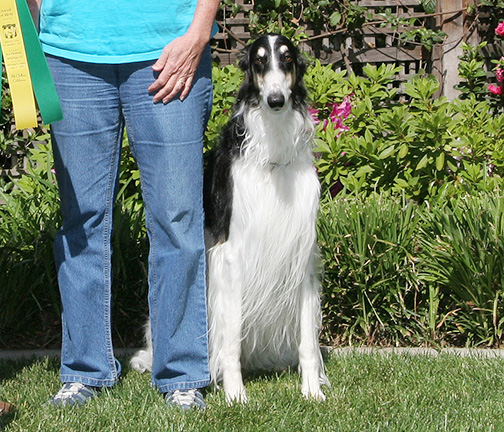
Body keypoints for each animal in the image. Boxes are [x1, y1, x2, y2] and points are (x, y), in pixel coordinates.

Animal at [132, 34, 328, 404]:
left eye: (288, 58)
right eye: (259, 61)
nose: (276, 100)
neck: (272, 154)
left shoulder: (301, 252)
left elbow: (308, 342)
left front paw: (312, 391)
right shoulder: (233, 257)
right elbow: (231, 338)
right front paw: (235, 394)